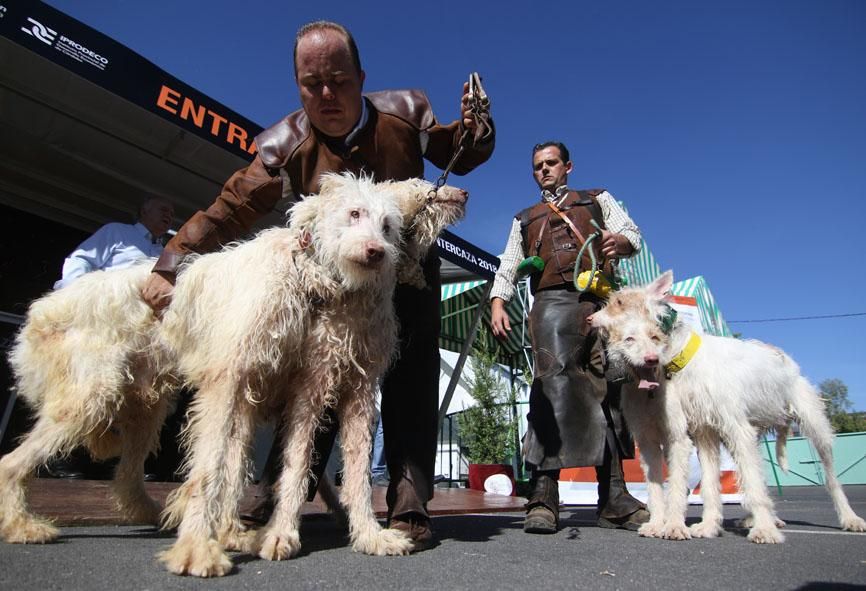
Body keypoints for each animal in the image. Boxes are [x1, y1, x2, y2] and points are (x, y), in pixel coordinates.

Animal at [0, 172, 466, 580]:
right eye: (354, 213)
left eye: (388, 226)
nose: (375, 252)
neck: (307, 272)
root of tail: (45, 308)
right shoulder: (242, 384)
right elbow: (220, 470)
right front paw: (198, 550)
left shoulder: (351, 391)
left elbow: (351, 473)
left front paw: (370, 536)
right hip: (92, 397)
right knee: (13, 462)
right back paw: (24, 525)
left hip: (148, 405)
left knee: (130, 476)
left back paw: (185, 520)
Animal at [588, 272, 864, 544]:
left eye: (619, 302)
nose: (590, 318)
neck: (680, 360)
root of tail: (783, 356)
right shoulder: (701, 433)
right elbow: (707, 484)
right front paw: (707, 526)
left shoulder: (722, 430)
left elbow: (735, 483)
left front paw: (763, 530)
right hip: (753, 434)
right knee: (757, 473)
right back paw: (757, 518)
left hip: (813, 425)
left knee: (830, 478)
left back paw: (848, 518)